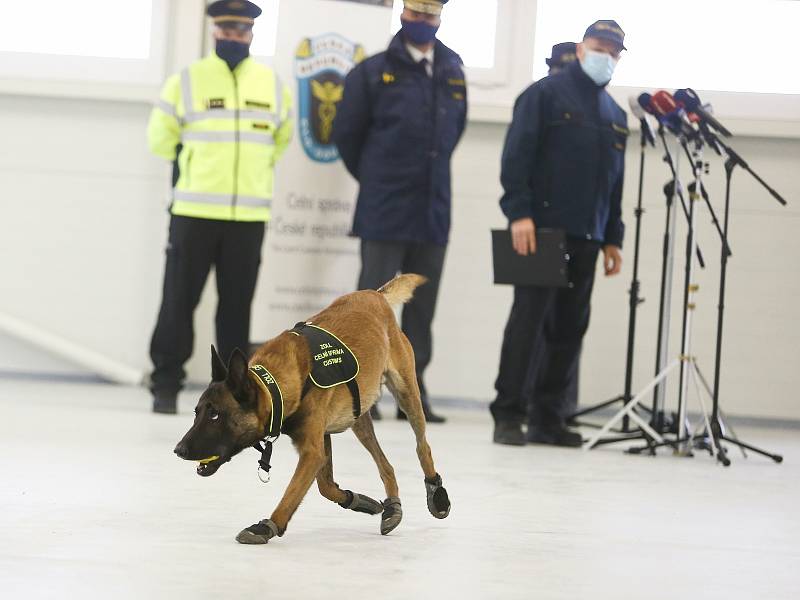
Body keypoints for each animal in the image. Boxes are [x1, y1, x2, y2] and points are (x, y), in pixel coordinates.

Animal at [174, 274, 450, 548]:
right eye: (197, 412)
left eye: (215, 415)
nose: (178, 450)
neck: (276, 385)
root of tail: (375, 294)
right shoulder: (321, 439)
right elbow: (325, 486)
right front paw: (359, 500)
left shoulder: (312, 450)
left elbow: (293, 492)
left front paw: (267, 525)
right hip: (358, 417)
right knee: (386, 465)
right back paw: (392, 505)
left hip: (407, 395)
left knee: (422, 446)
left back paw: (436, 493)